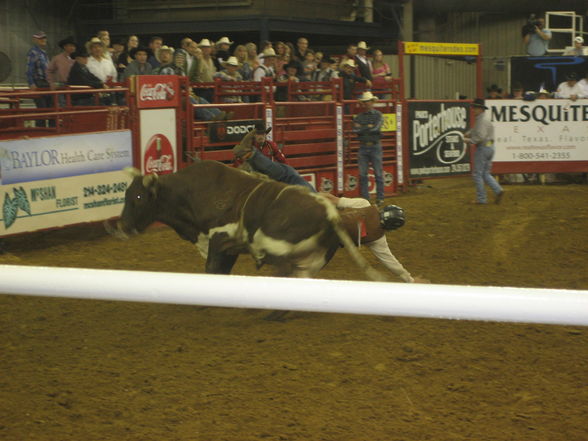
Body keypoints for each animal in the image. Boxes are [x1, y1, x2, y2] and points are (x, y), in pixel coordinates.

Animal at [107, 160, 386, 280]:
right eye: (126, 194)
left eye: (139, 197)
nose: (122, 226)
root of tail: (329, 212)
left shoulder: (220, 239)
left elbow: (212, 269)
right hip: (314, 257)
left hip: (276, 244)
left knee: (282, 267)